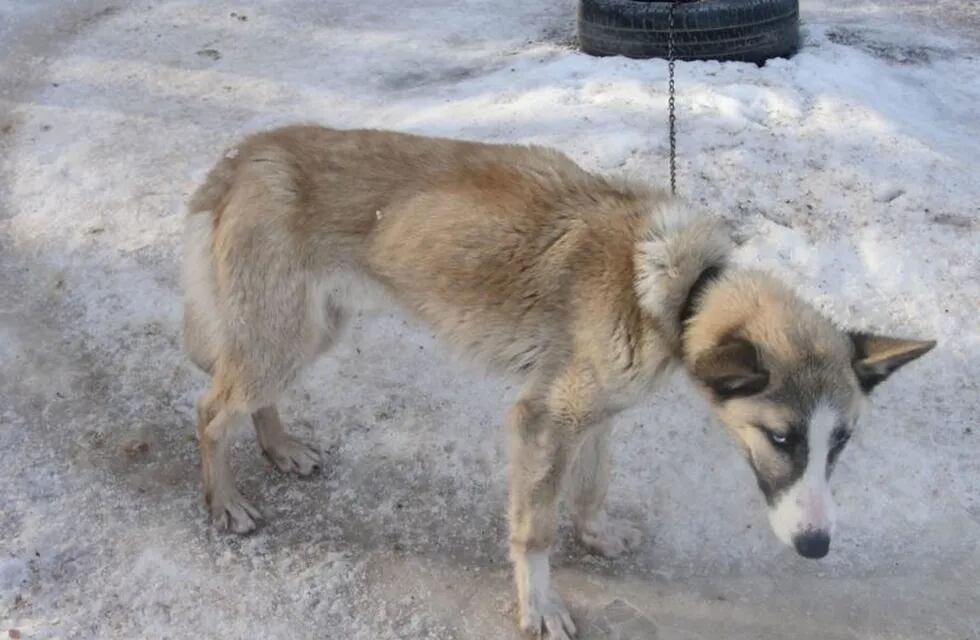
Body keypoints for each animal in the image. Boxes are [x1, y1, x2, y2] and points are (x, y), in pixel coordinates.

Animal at [182, 124, 936, 636]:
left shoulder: (594, 416)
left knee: (255, 399)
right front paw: (539, 603)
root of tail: (249, 152)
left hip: (306, 333)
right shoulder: (544, 421)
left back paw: (281, 448)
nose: (817, 547)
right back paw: (226, 501)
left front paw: (595, 536)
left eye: (840, 443)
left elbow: (592, 487)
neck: (681, 290)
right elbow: (536, 530)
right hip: (283, 336)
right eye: (781, 439)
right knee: (212, 409)